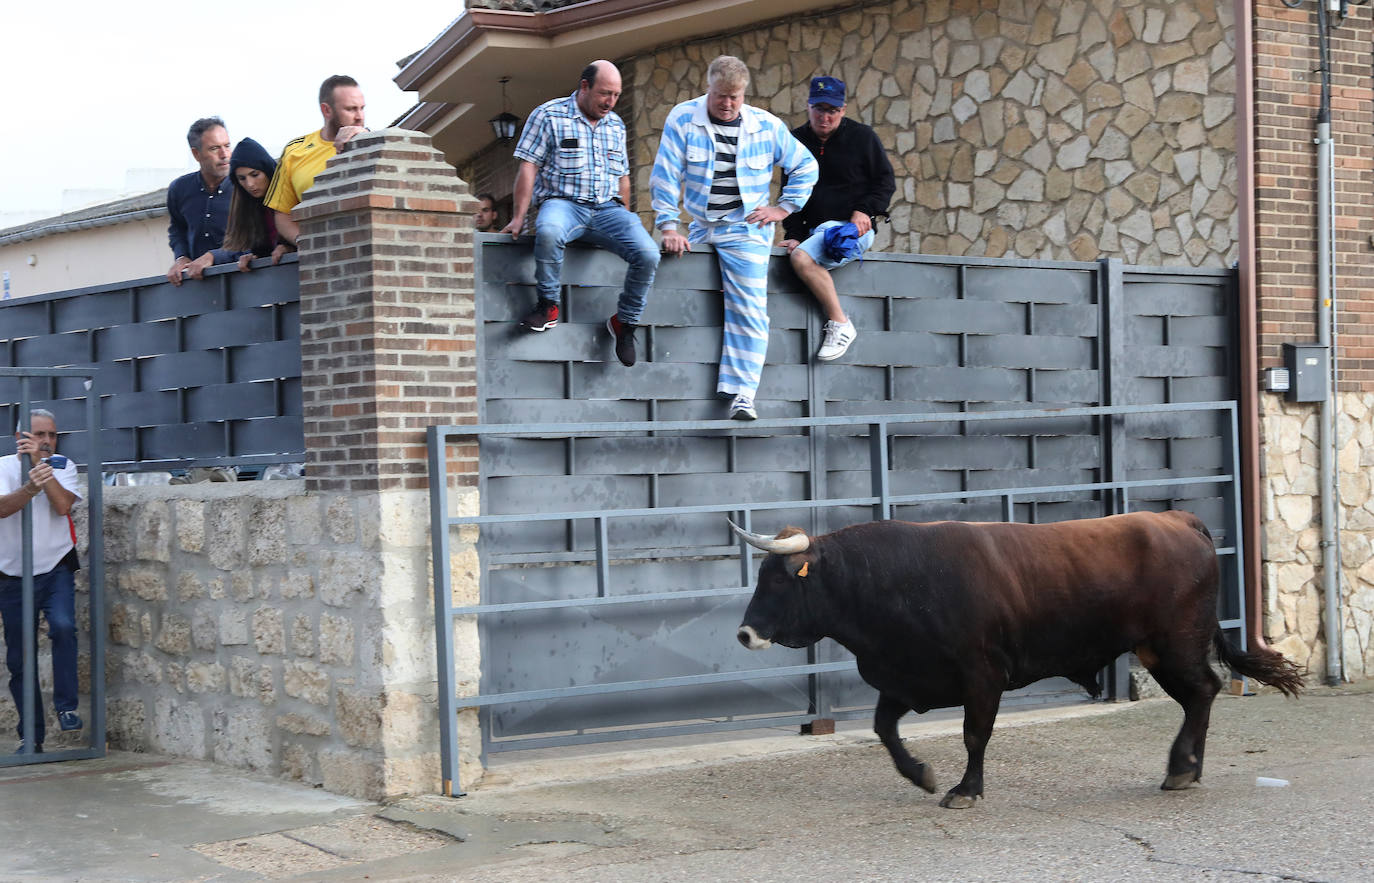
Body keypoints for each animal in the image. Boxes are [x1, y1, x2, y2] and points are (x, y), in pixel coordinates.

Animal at [736, 510, 1302, 807]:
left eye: (780, 580)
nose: (744, 633)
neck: (898, 579)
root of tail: (1174, 519)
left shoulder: (982, 675)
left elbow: (974, 734)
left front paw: (966, 789)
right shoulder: (906, 679)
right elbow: (883, 729)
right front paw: (921, 774)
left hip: (1173, 644)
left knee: (1202, 691)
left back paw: (1182, 767)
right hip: (1162, 650)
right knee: (1198, 697)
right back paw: (1188, 768)